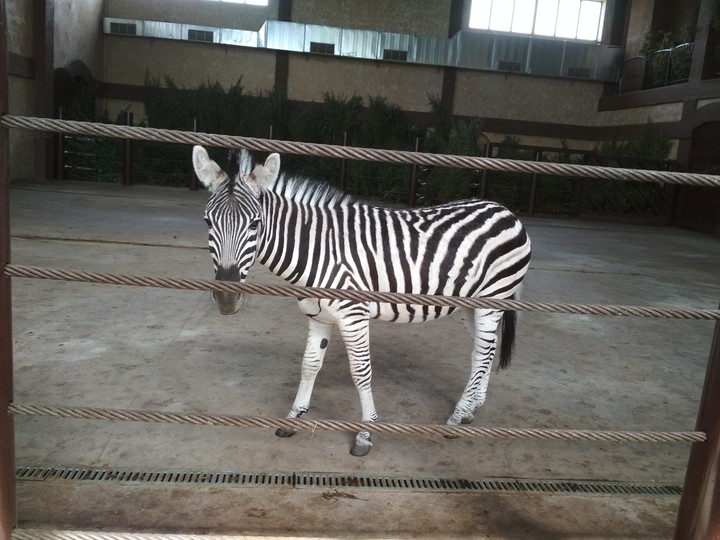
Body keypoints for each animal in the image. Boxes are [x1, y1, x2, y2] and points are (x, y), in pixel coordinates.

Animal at [192, 146, 531, 457]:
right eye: (208, 222)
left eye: (255, 224)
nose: (226, 299)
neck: (317, 248)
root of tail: (504, 210)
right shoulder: (318, 316)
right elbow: (309, 365)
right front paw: (294, 418)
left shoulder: (352, 315)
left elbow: (361, 371)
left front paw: (365, 434)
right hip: (474, 304)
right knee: (484, 352)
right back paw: (472, 407)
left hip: (493, 298)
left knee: (483, 354)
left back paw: (458, 417)